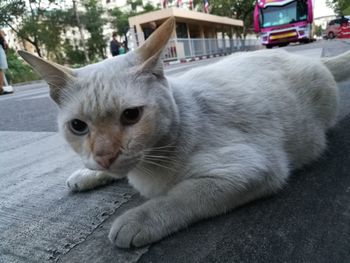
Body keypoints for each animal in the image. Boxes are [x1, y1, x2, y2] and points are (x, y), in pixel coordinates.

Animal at [19, 17, 350, 250]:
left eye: (131, 115)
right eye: (78, 126)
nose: (104, 156)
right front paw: (88, 174)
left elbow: (181, 196)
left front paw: (137, 219)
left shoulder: (255, 169)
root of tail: (314, 59)